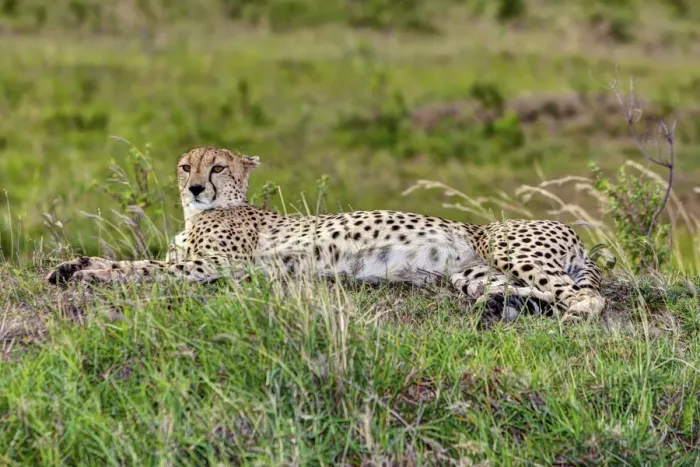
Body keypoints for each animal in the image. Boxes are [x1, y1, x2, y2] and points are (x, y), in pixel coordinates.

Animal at [46, 146, 606, 322]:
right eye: (186, 166)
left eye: (219, 166)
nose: (197, 187)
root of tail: (571, 229)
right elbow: (137, 263)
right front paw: (69, 266)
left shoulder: (218, 266)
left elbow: (140, 268)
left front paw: (89, 273)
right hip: (469, 273)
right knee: (531, 293)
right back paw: (502, 306)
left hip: (514, 250)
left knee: (586, 300)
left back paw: (565, 315)